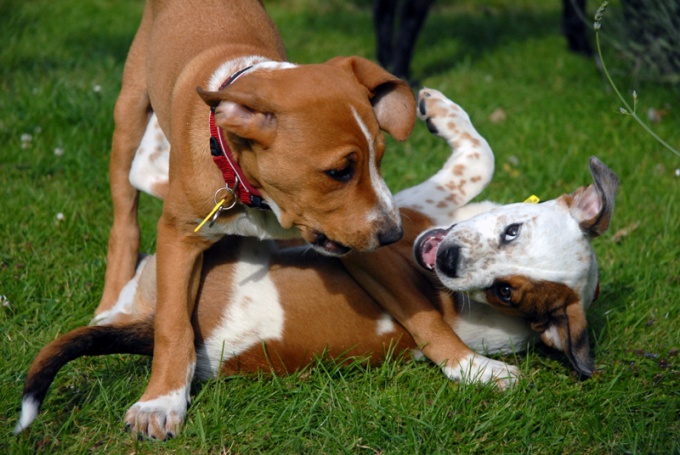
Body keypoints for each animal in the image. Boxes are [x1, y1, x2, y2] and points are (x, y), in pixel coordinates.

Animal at [18, 88, 620, 438]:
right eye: (513, 231)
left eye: (504, 292)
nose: (446, 262)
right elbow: (483, 154)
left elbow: (480, 157)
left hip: (230, 234)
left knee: (151, 172)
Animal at [95, 0, 414, 442]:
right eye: (339, 172)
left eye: (378, 159)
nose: (393, 234)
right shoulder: (178, 235)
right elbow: (173, 324)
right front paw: (160, 403)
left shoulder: (343, 236)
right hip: (129, 111)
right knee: (124, 213)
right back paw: (110, 299)